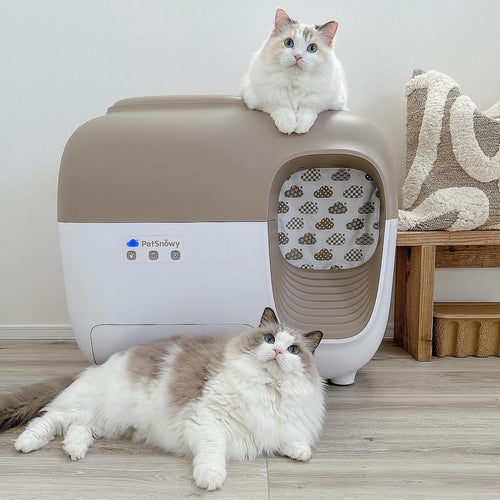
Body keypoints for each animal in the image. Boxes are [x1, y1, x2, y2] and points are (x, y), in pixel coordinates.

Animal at [0, 308, 324, 492]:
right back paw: (26, 444)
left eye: (293, 350)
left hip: (104, 420)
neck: (266, 388)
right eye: (269, 340)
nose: (278, 352)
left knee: (78, 429)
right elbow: (212, 452)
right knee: (48, 421)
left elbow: (290, 440)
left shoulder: (272, 424)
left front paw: (299, 451)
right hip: (88, 406)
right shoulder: (208, 420)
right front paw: (210, 477)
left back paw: (74, 451)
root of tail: (96, 367)